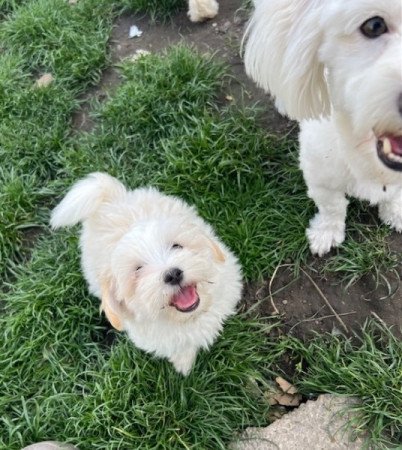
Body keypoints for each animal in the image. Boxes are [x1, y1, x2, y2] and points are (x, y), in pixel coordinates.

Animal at [243, 0, 402, 255]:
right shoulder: (319, 175)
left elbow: (394, 195)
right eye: (374, 25)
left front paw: (395, 212)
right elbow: (332, 206)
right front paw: (326, 231)